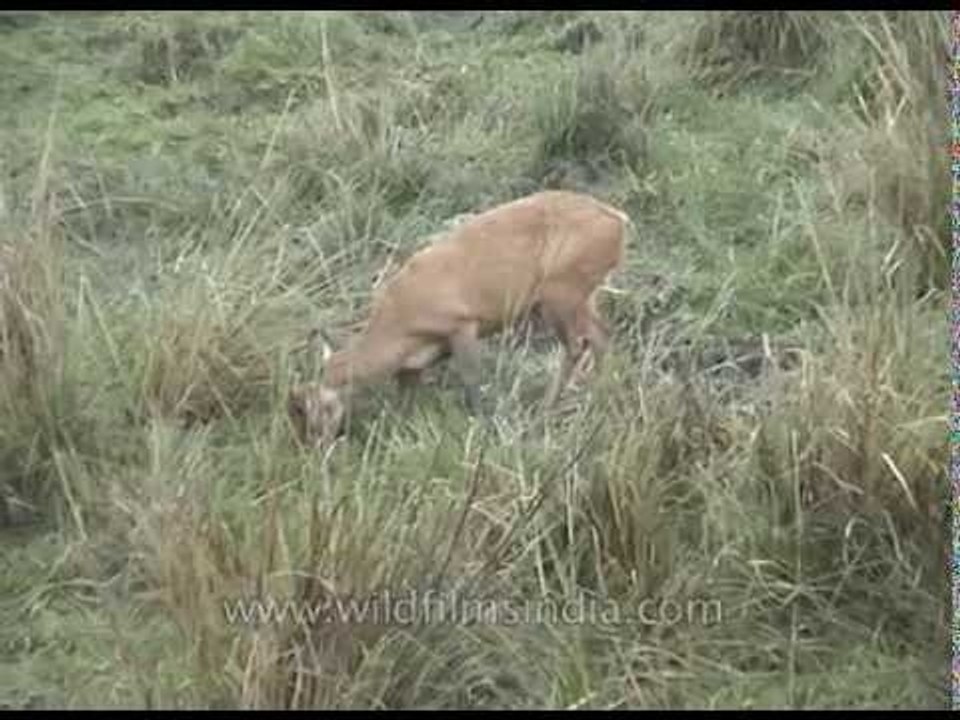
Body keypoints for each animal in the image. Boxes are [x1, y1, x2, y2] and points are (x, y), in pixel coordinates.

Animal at [288, 190, 631, 449]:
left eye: (313, 411)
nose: (314, 449)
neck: (400, 325)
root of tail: (617, 220)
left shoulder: (462, 323)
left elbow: (470, 378)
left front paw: (480, 424)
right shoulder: (415, 364)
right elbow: (406, 400)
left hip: (562, 291)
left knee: (580, 343)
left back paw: (555, 409)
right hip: (576, 295)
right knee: (599, 335)